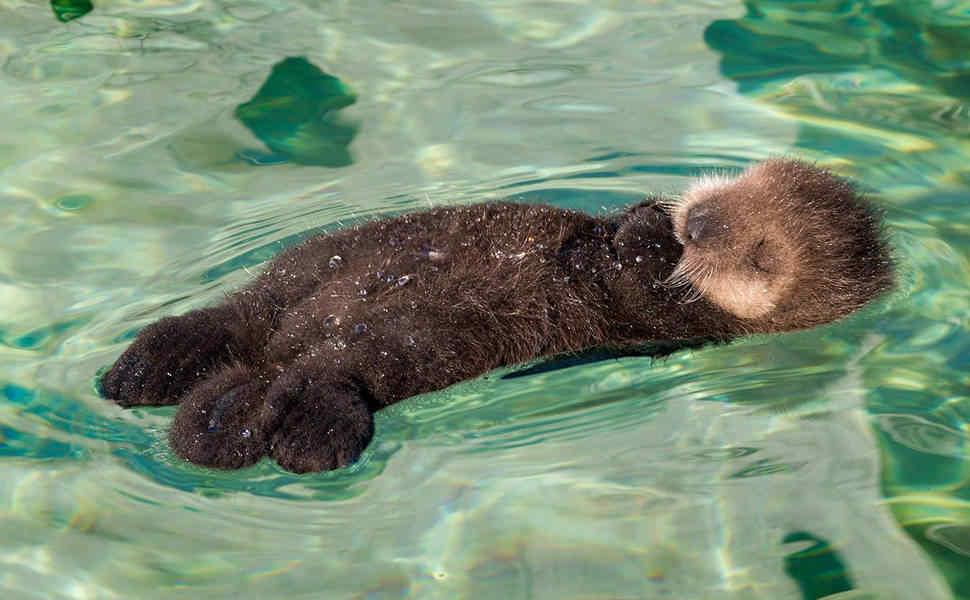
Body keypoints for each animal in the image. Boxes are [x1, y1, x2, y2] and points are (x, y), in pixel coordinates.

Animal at [98, 158, 892, 474]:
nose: (693, 221)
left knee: (318, 380)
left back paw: (282, 433)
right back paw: (146, 367)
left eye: (756, 254)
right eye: (735, 185)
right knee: (237, 319)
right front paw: (638, 217)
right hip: (303, 274)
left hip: (384, 350)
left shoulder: (671, 323)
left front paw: (643, 238)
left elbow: (639, 288)